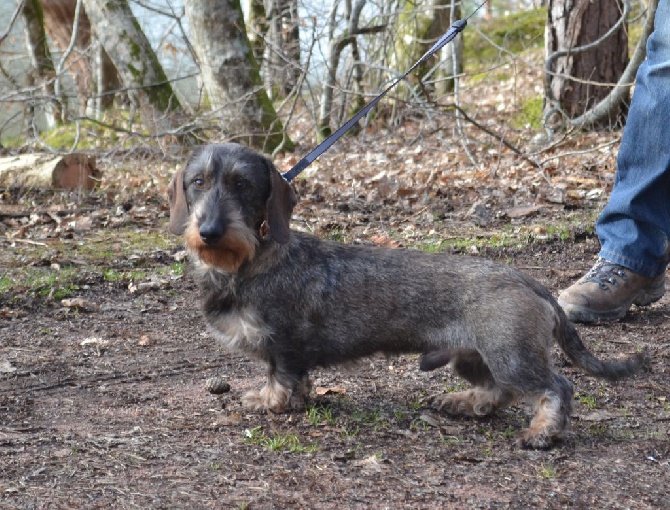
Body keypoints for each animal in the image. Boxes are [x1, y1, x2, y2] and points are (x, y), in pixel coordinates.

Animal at [167, 142, 644, 446]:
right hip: (472, 356)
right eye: (197, 182)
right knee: (497, 392)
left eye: (242, 184)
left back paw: (542, 432)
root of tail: (528, 281)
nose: (209, 231)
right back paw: (463, 402)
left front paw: (270, 402)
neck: (248, 261)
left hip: (512, 356)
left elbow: (281, 378)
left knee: (555, 386)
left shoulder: (283, 344)